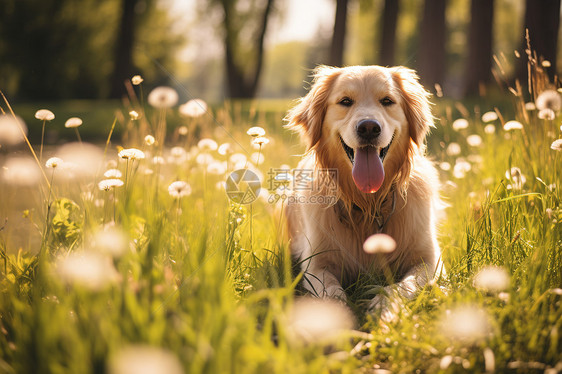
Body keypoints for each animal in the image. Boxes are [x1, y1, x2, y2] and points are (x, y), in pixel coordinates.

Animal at [284, 65, 442, 322]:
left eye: (387, 101)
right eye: (345, 101)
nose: (369, 128)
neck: (368, 203)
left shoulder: (429, 260)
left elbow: (404, 285)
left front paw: (383, 307)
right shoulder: (316, 264)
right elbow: (330, 291)